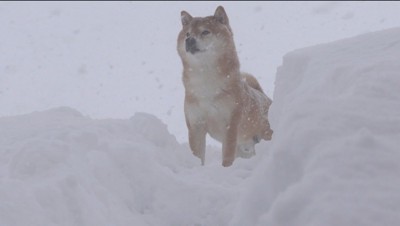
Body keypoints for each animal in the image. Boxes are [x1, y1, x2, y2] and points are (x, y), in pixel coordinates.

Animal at [177, 6, 274, 167]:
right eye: (187, 33)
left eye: (205, 32)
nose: (189, 40)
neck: (205, 85)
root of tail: (267, 98)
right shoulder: (195, 125)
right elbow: (197, 154)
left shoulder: (230, 125)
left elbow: (227, 157)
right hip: (244, 148)